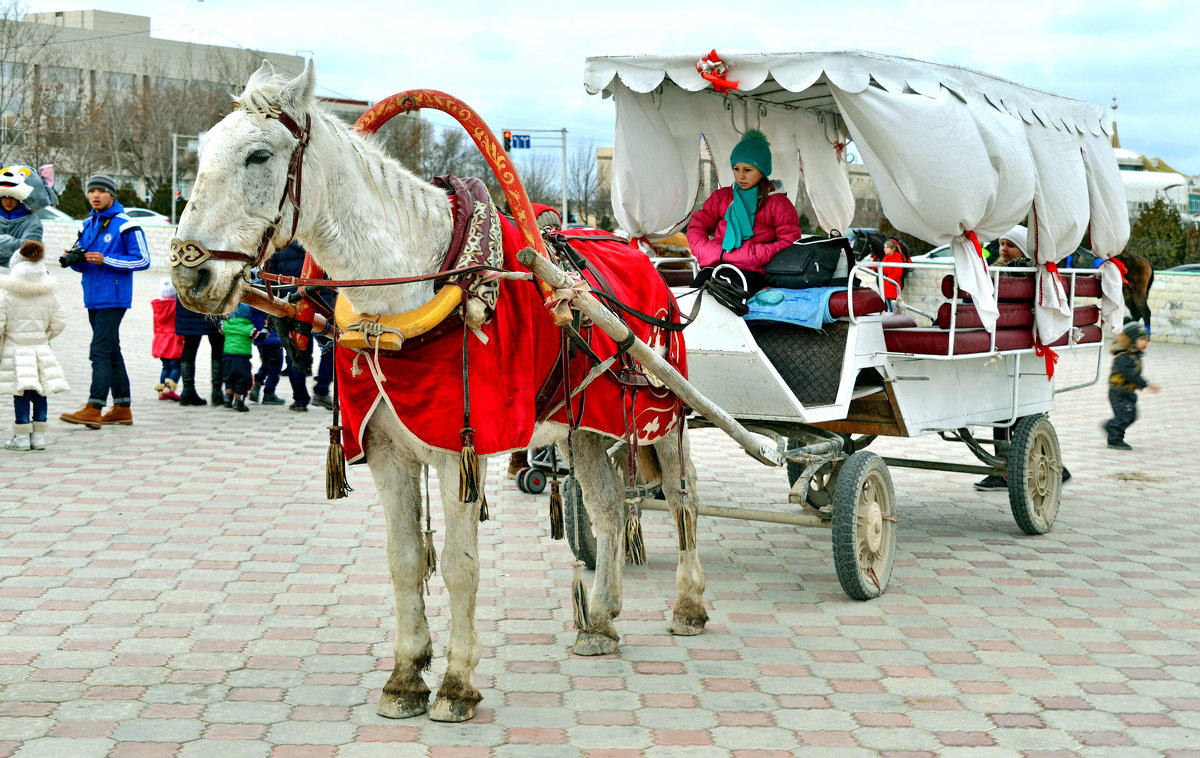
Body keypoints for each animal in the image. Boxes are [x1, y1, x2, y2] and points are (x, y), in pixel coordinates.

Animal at [174, 60, 705, 724]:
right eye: (201, 154)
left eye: (258, 155)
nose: (188, 272)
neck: (414, 293)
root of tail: (644, 260)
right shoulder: (385, 451)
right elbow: (404, 560)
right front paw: (405, 675)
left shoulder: (461, 452)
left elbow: (458, 566)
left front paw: (456, 682)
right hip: (586, 425)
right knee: (608, 509)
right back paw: (602, 619)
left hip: (662, 412)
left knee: (682, 497)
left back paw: (688, 604)